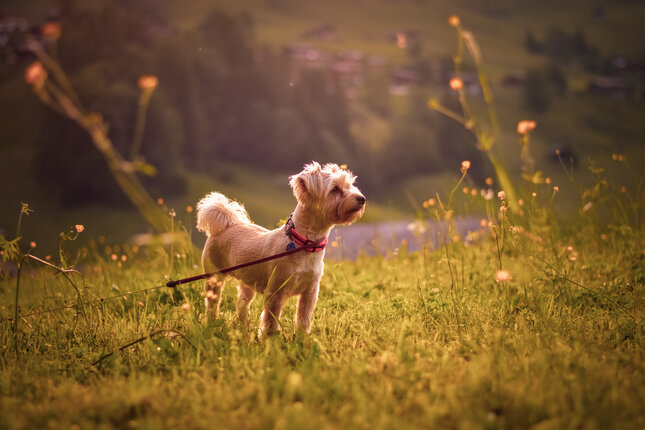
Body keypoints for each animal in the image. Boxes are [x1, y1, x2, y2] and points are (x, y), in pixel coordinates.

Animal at [194, 163, 364, 338]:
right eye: (335, 189)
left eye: (350, 185)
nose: (362, 198)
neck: (304, 244)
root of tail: (226, 225)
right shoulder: (275, 293)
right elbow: (270, 321)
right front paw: (270, 340)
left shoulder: (309, 293)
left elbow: (303, 319)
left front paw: (302, 339)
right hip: (214, 278)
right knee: (212, 304)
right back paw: (212, 325)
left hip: (247, 282)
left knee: (242, 303)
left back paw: (244, 328)